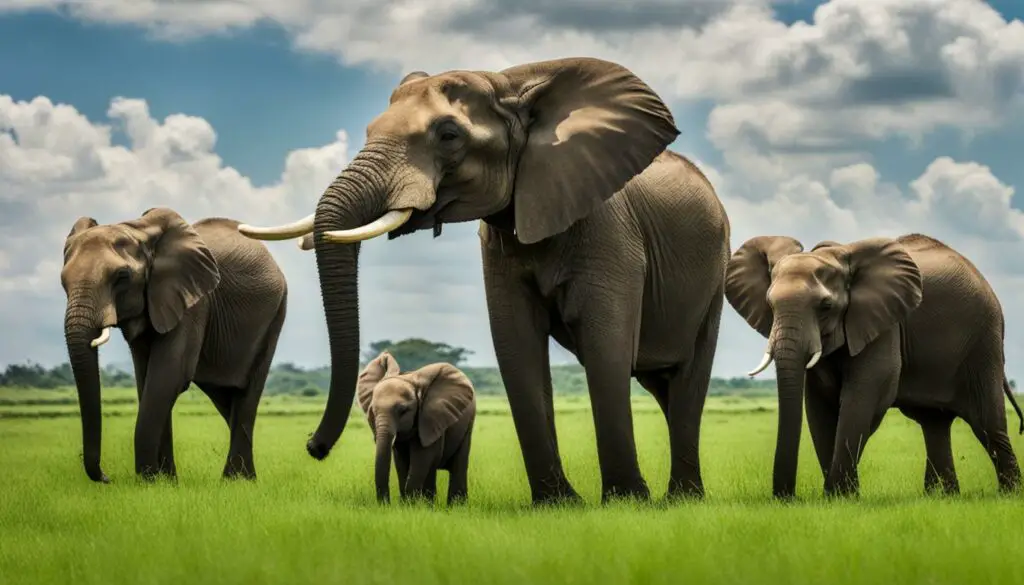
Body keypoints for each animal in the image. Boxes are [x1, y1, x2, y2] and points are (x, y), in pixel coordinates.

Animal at [60, 207, 288, 482]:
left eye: (122, 277)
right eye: (63, 282)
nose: (106, 477)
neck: (139, 231)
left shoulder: (194, 302)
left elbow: (168, 377)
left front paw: (148, 481)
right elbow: (147, 379)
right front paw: (165, 482)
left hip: (274, 314)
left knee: (246, 393)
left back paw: (236, 481)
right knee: (225, 397)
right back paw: (244, 479)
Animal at [356, 351, 476, 505]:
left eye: (403, 411)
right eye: (372, 412)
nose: (386, 504)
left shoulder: (431, 420)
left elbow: (422, 458)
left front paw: (410, 505)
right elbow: (401, 461)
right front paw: (407, 506)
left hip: (468, 424)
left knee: (458, 464)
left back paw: (455, 506)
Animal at [725, 232, 1023, 499]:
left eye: (825, 306)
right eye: (770, 304)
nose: (786, 497)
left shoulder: (884, 325)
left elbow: (863, 397)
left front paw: (839, 497)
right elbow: (818, 405)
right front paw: (838, 496)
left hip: (982, 342)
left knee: (987, 423)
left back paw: (1007, 495)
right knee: (934, 423)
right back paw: (943, 497)